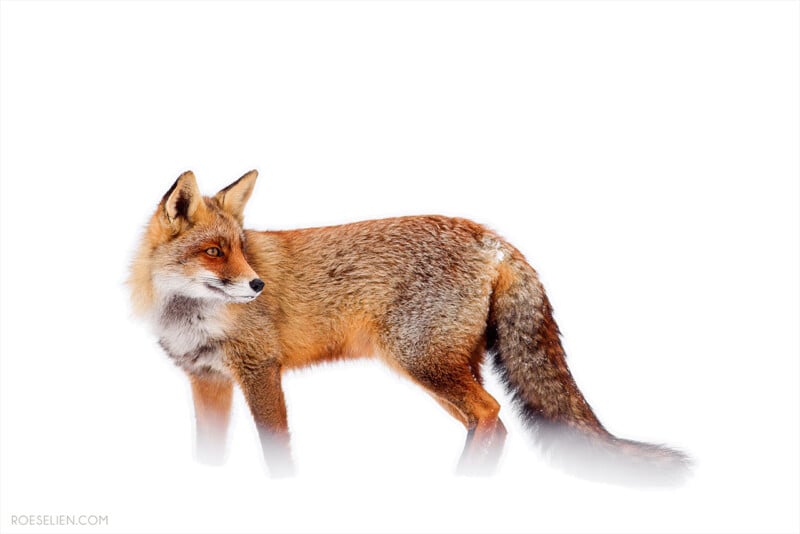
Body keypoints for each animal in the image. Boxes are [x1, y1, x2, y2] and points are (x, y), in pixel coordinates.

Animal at [129, 170, 690, 484]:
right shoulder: (208, 381)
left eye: (242, 249)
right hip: (446, 367)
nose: (258, 285)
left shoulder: (259, 371)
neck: (191, 318)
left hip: (423, 362)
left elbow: (276, 449)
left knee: (490, 415)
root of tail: (492, 237)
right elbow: (208, 455)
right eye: (213, 251)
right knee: (493, 424)